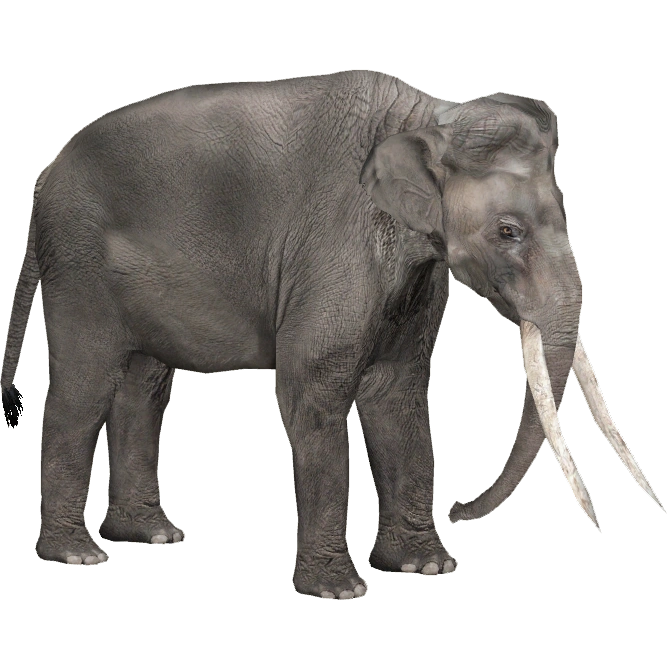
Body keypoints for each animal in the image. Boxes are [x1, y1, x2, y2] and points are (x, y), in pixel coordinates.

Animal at [0, 69, 661, 599]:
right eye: (508, 231)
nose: (460, 508)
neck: (423, 119)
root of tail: (42, 178)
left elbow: (398, 389)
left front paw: (424, 569)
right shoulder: (337, 247)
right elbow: (312, 388)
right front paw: (340, 591)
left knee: (142, 383)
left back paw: (151, 533)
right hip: (80, 266)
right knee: (85, 385)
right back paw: (79, 555)